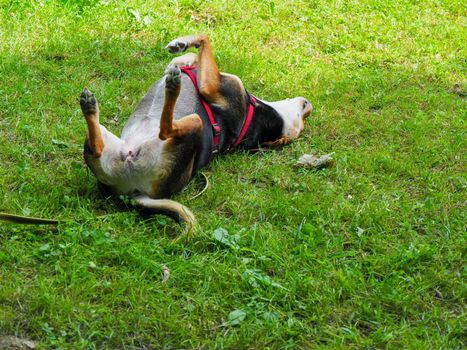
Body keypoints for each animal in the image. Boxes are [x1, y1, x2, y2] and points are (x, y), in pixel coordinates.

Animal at [80, 34, 312, 227]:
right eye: (304, 118)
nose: (309, 105)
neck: (257, 117)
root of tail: (136, 194)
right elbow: (190, 55)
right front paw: (181, 50)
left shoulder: (212, 86)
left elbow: (204, 38)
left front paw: (182, 47)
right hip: (107, 144)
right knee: (96, 146)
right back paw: (91, 107)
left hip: (194, 123)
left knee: (165, 129)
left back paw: (172, 88)